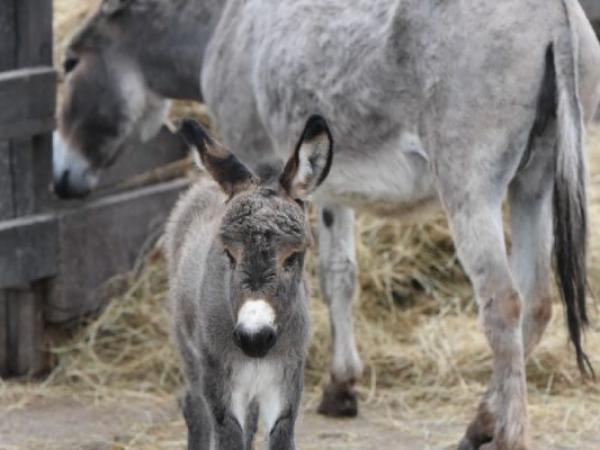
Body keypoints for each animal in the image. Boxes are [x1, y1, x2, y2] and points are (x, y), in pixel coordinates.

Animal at [165, 114, 332, 448]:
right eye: (228, 254)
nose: (254, 338)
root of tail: (204, 184)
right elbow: (228, 434)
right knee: (194, 408)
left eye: (292, 257)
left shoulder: (285, 384)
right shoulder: (222, 388)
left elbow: (277, 435)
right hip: (189, 351)